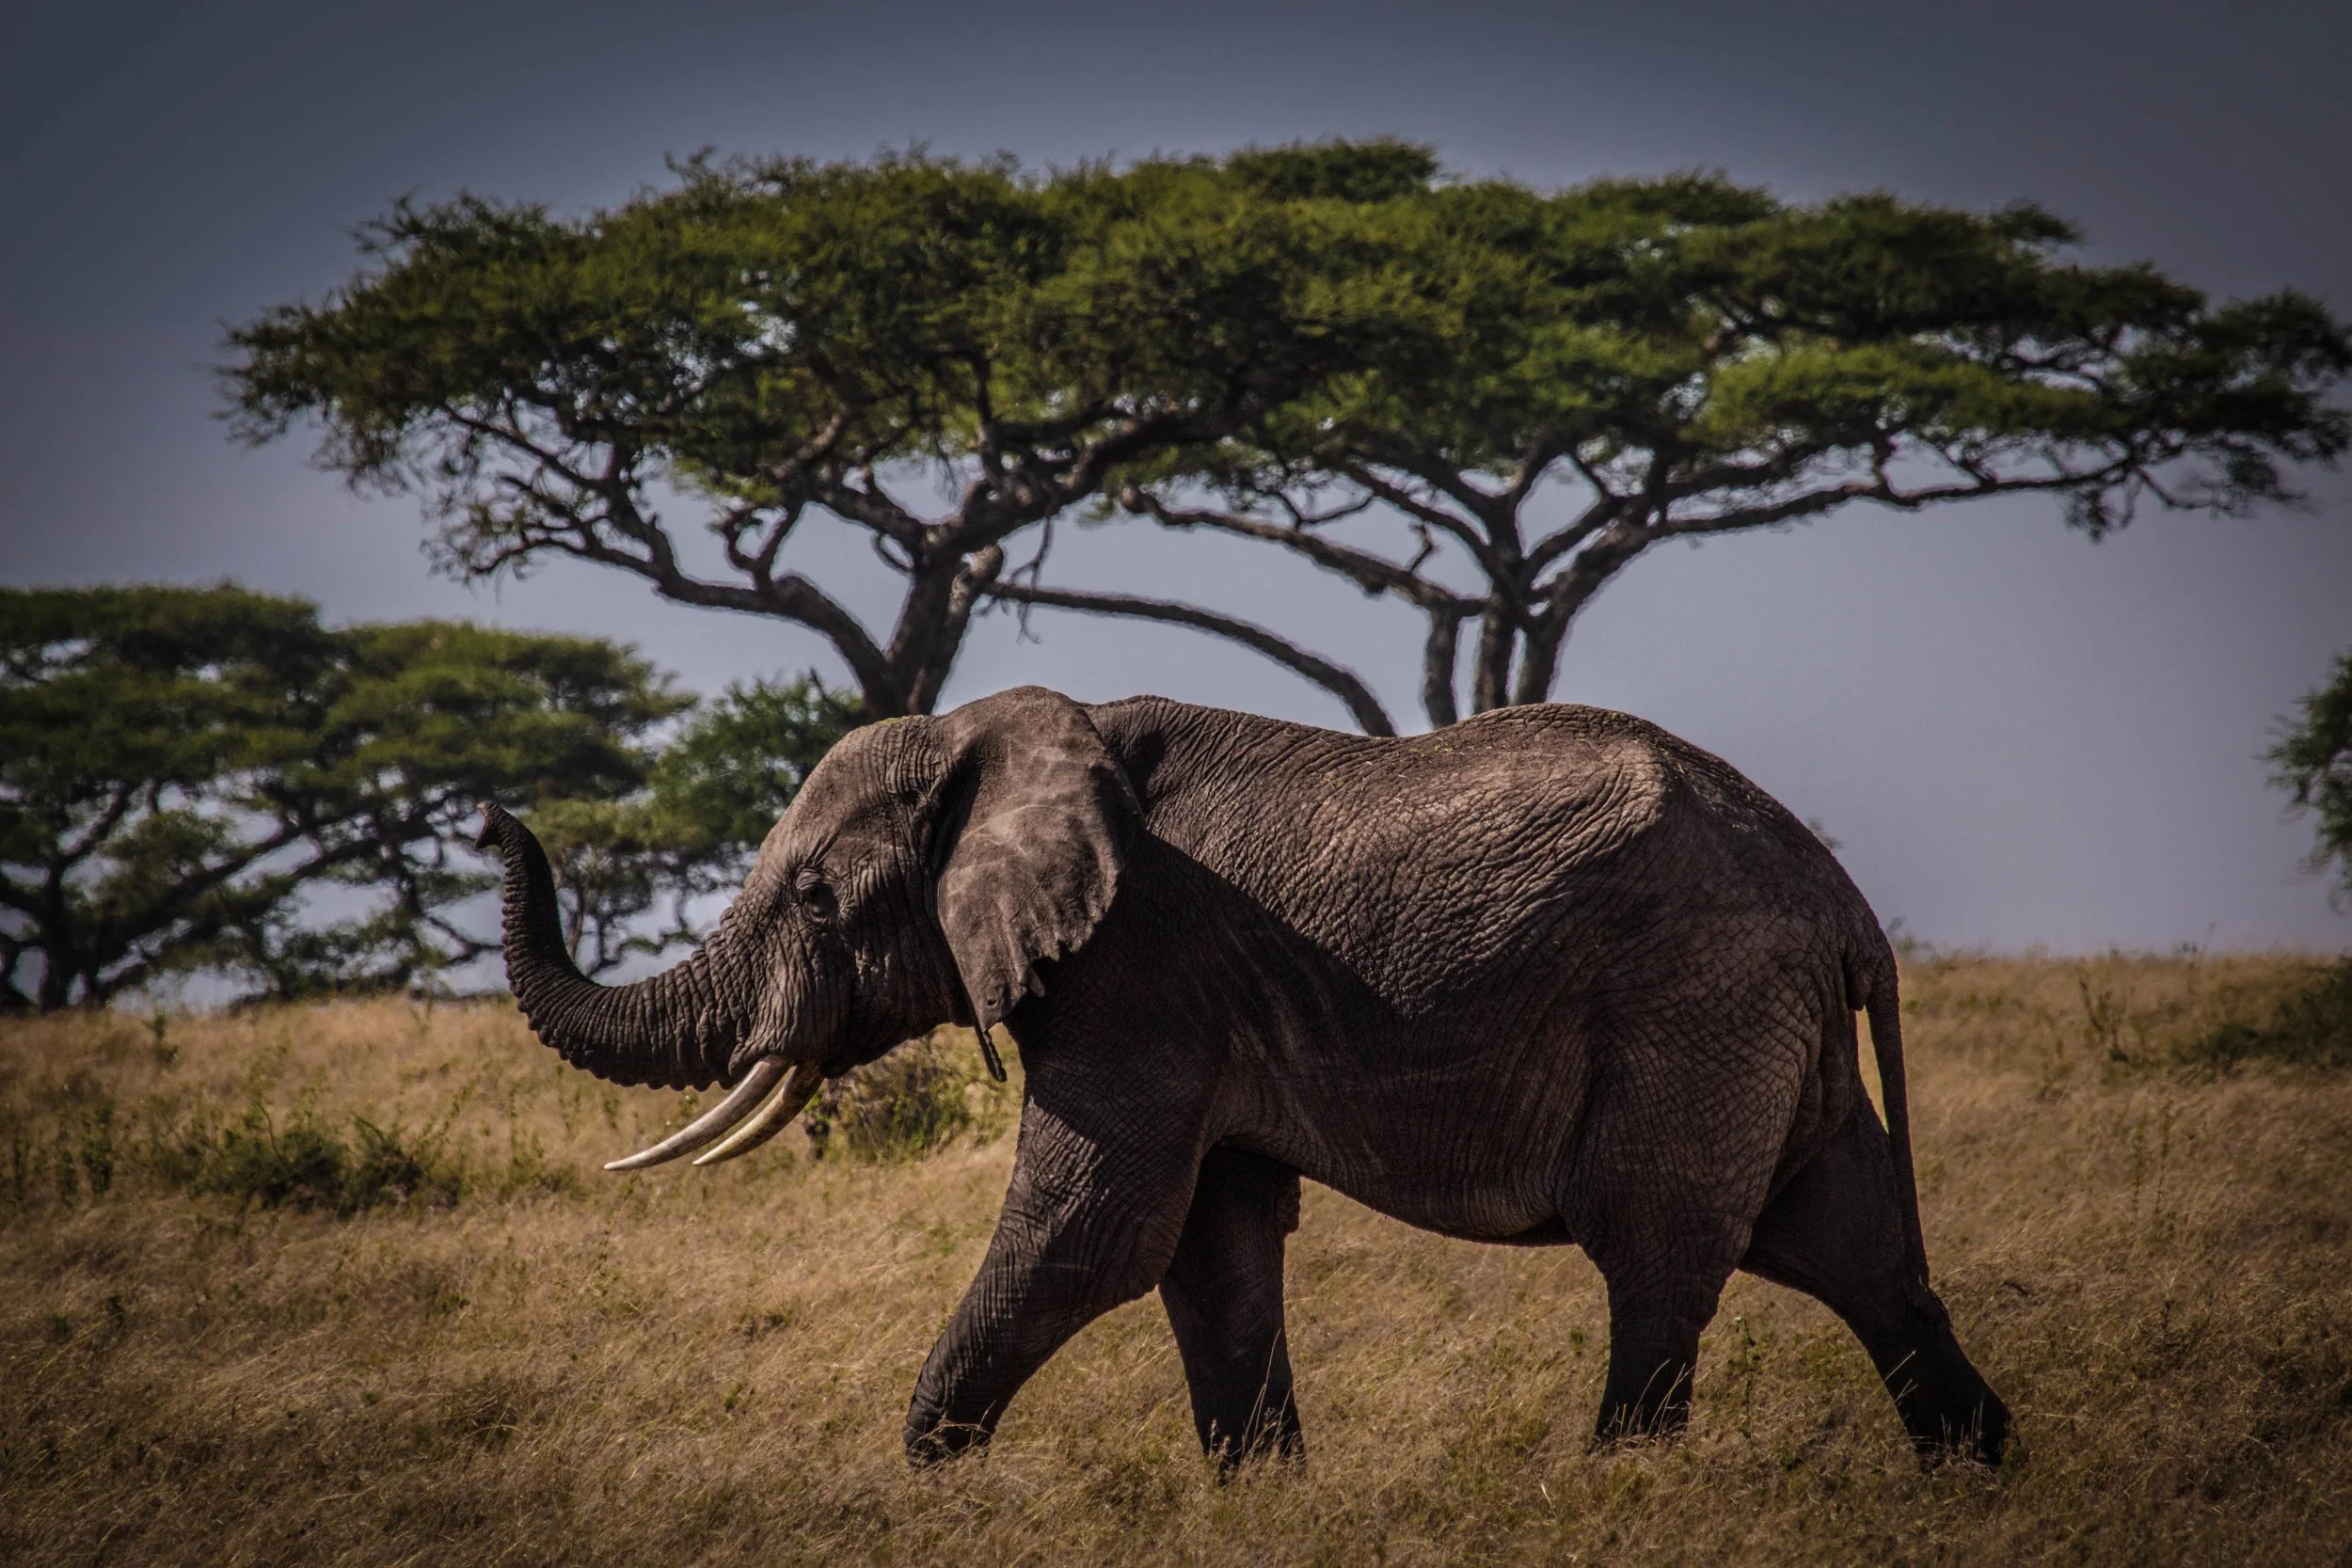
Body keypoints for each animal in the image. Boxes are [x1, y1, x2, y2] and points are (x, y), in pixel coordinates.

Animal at [475, 685, 2008, 1470]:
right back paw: (1980, 1477)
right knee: (1859, 1255)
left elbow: (1098, 1228)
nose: (494, 810)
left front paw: (925, 1489)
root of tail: (1842, 903)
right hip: (1767, 1033)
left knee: (1659, 1259)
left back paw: (1614, 1493)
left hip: (1694, 1008)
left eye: (810, 895)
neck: (1015, 728)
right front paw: (1262, 1499)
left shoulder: (1141, 966)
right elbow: (1207, 1248)